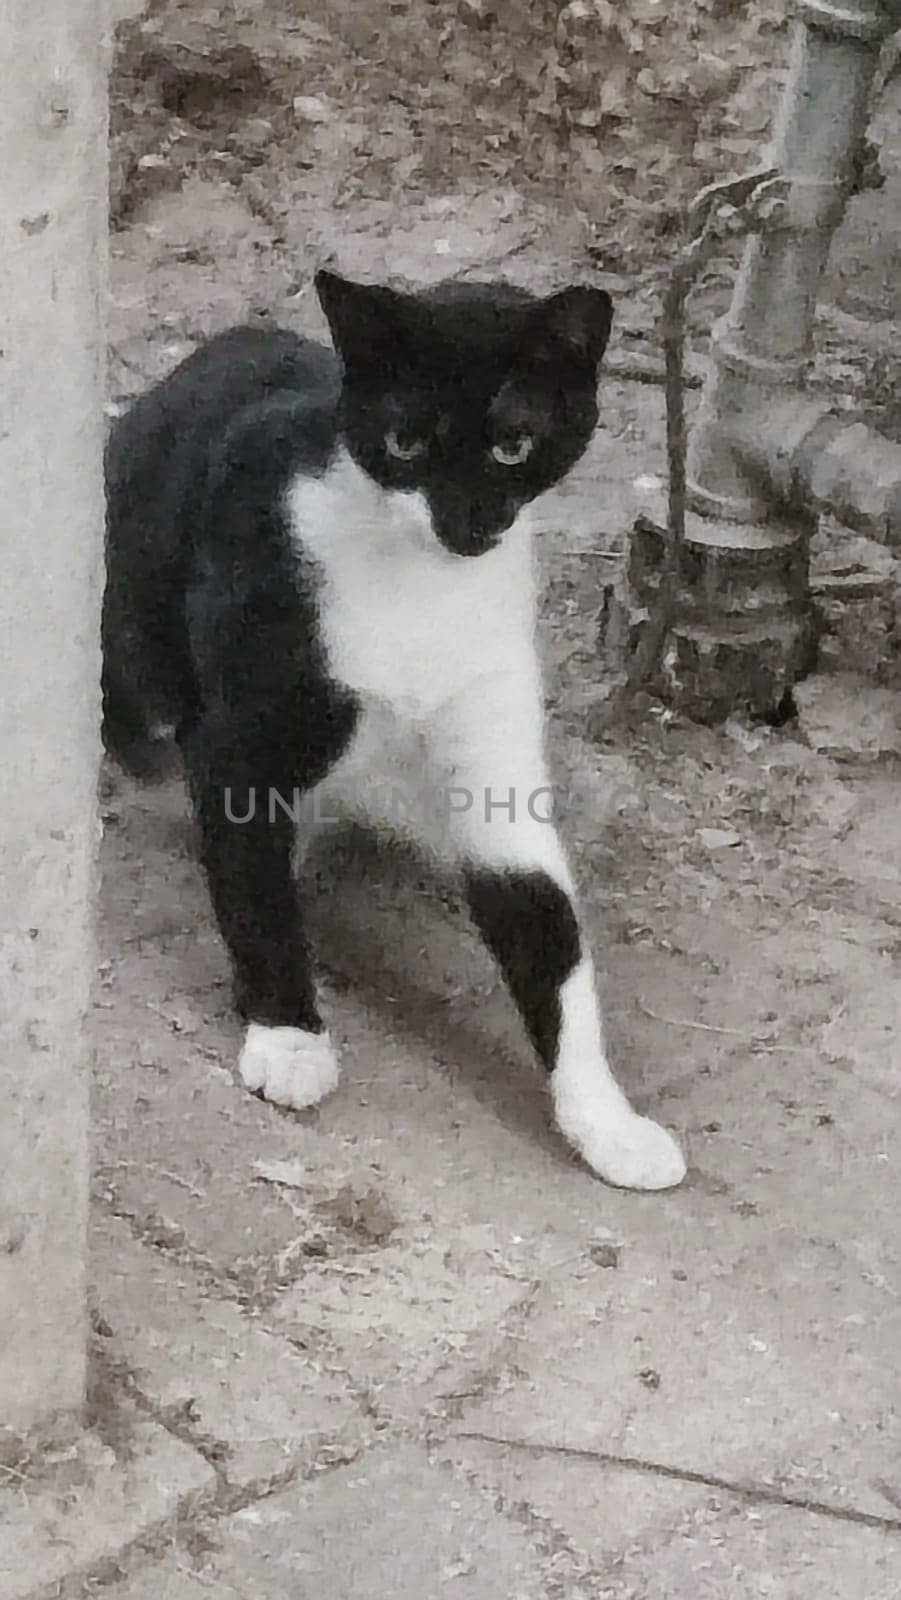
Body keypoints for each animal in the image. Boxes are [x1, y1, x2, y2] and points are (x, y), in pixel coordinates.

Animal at [104, 272, 684, 1190]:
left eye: (514, 445)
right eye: (406, 440)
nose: (470, 523)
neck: (422, 587)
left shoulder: (492, 747)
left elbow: (548, 933)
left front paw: (605, 1121)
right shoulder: (241, 737)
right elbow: (255, 890)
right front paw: (288, 1037)